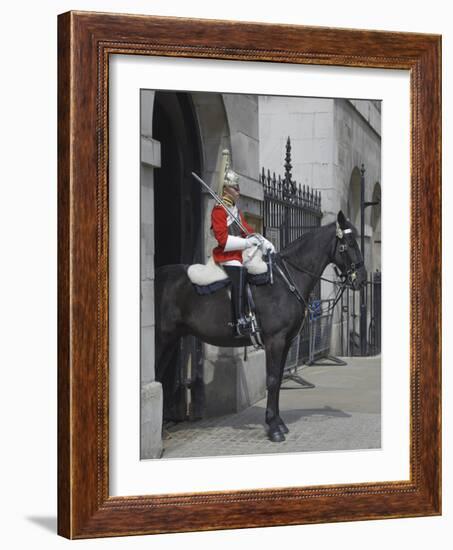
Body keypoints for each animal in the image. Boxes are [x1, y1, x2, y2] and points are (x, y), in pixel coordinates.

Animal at [154, 211, 366, 444]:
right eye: (349, 243)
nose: (362, 279)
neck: (285, 280)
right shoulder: (275, 340)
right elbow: (272, 380)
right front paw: (273, 428)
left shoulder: (286, 342)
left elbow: (279, 378)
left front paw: (279, 422)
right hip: (161, 339)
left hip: (171, 339)